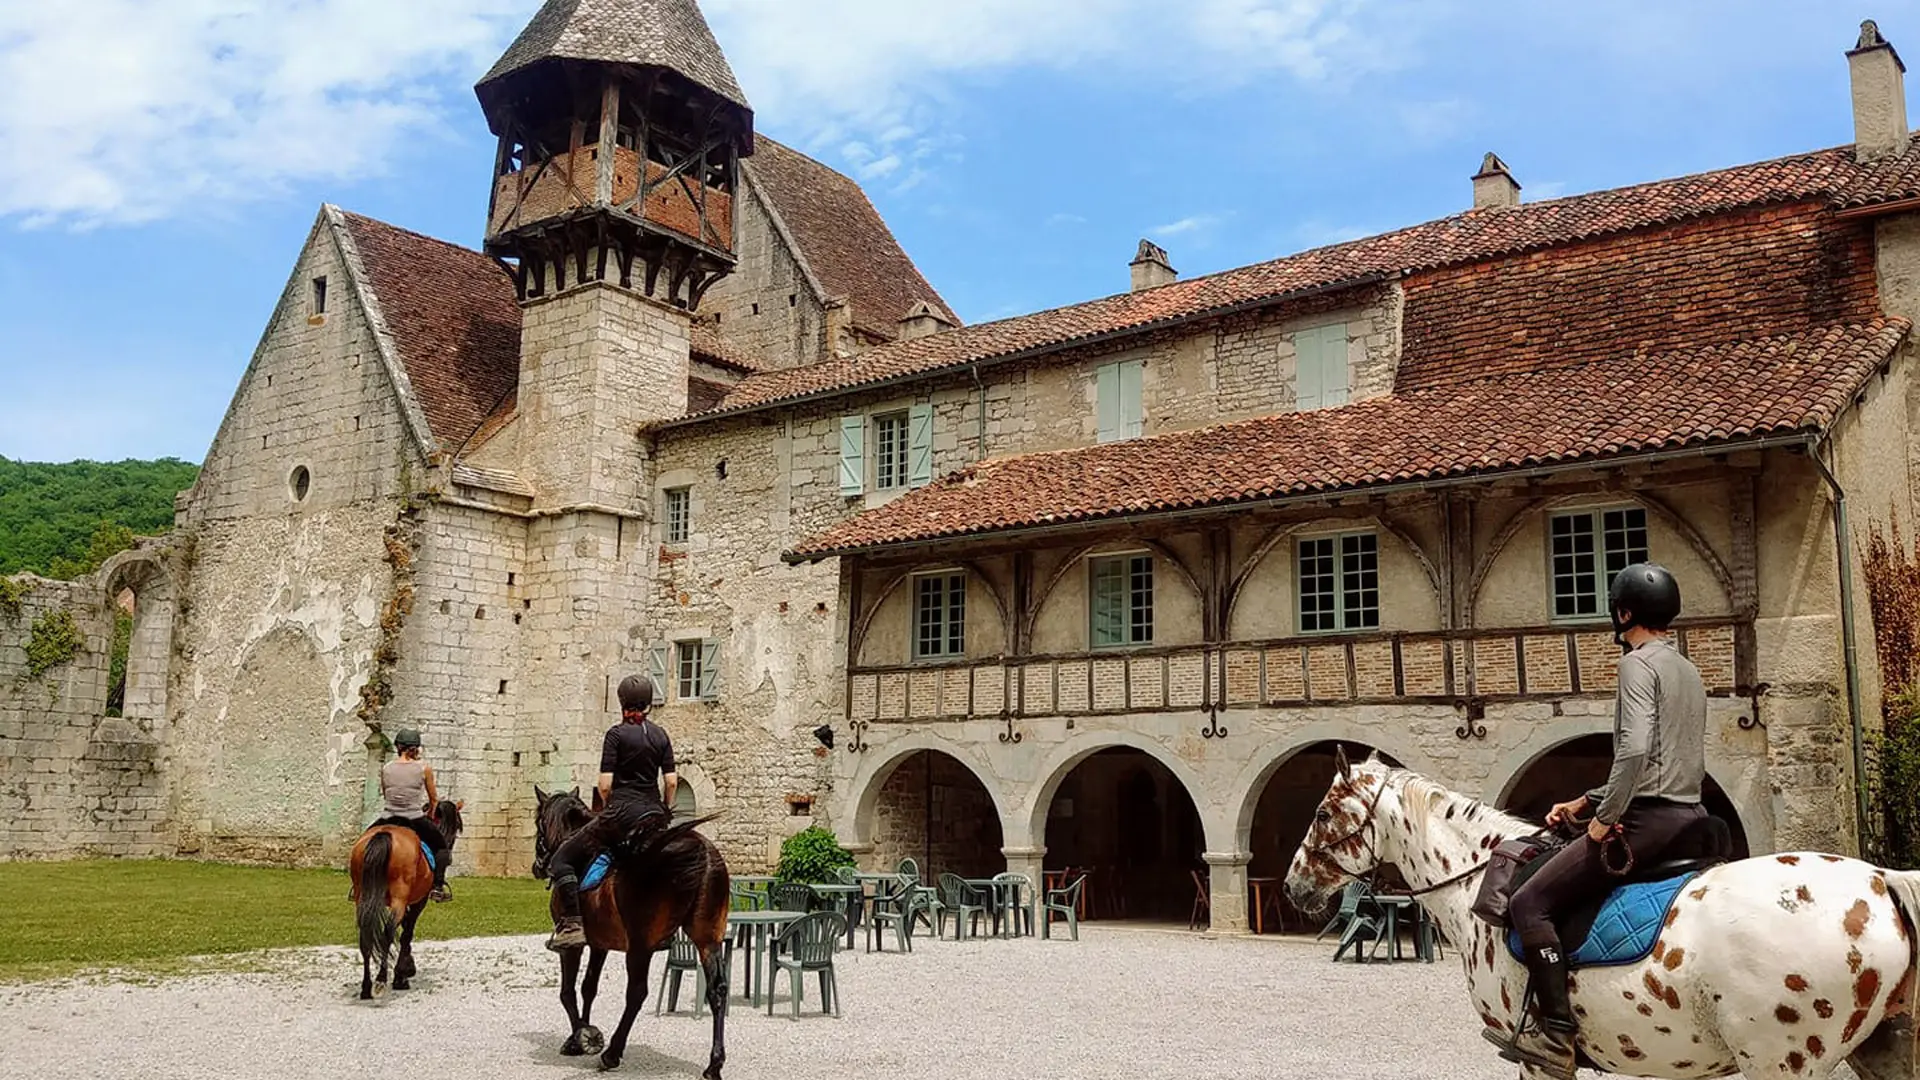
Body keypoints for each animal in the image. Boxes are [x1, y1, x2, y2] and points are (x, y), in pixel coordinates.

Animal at [349, 795, 464, 999]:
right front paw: (403, 974)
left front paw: (403, 971)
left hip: (363, 897)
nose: (451, 851)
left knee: (366, 936)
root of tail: (385, 834)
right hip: (399, 899)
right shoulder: (419, 901)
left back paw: (366, 987)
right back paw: (380, 980)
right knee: (387, 933)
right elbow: (407, 932)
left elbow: (404, 929)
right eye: (457, 824)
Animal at [533, 780, 733, 1076]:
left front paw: (581, 1037)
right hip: (708, 939)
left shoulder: (572, 948)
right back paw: (714, 1063)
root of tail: (702, 855)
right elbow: (588, 987)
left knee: (636, 993)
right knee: (717, 989)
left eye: (538, 822)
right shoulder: (600, 944)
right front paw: (582, 1033)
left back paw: (612, 1053)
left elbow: (567, 993)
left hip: (641, 947)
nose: (537, 866)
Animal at [1290, 749, 1920, 1076]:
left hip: (1782, 1062)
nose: (1296, 886)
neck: (1476, 886)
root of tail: (1879, 880)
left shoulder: (1540, 1061)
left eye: (1322, 814)